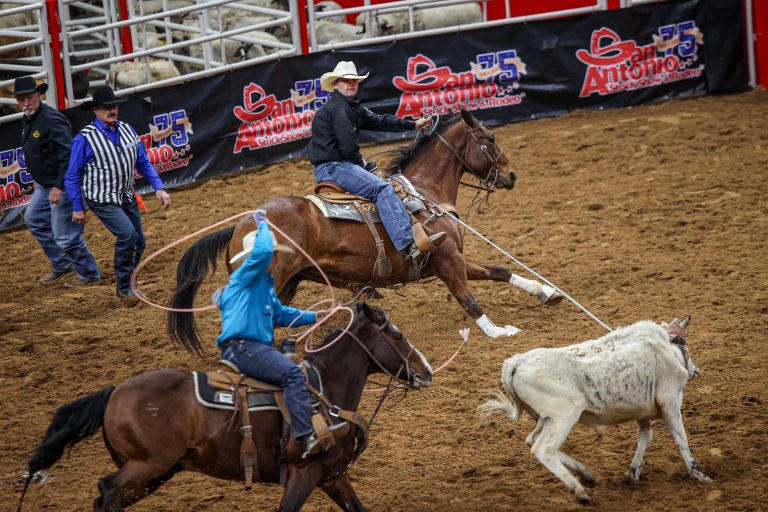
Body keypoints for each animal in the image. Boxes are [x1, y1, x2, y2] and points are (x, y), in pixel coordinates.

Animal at [18, 304, 432, 512]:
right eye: (396, 335)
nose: (426, 371)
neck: (325, 390)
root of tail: (115, 391)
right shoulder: (305, 472)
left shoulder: (332, 475)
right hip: (146, 465)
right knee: (107, 492)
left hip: (157, 471)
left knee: (105, 499)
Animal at [170, 110, 560, 354]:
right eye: (490, 138)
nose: (511, 176)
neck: (423, 193)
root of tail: (243, 224)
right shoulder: (447, 259)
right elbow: (467, 297)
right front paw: (497, 331)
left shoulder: (453, 258)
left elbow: (499, 270)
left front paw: (546, 292)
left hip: (287, 281)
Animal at [476, 318, 712, 502]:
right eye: (683, 342)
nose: (696, 370)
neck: (663, 349)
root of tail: (517, 362)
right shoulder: (670, 401)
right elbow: (681, 439)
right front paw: (699, 475)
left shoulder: (640, 409)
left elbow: (645, 436)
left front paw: (633, 472)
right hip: (563, 417)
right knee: (543, 449)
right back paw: (579, 490)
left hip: (545, 419)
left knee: (531, 441)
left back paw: (585, 473)